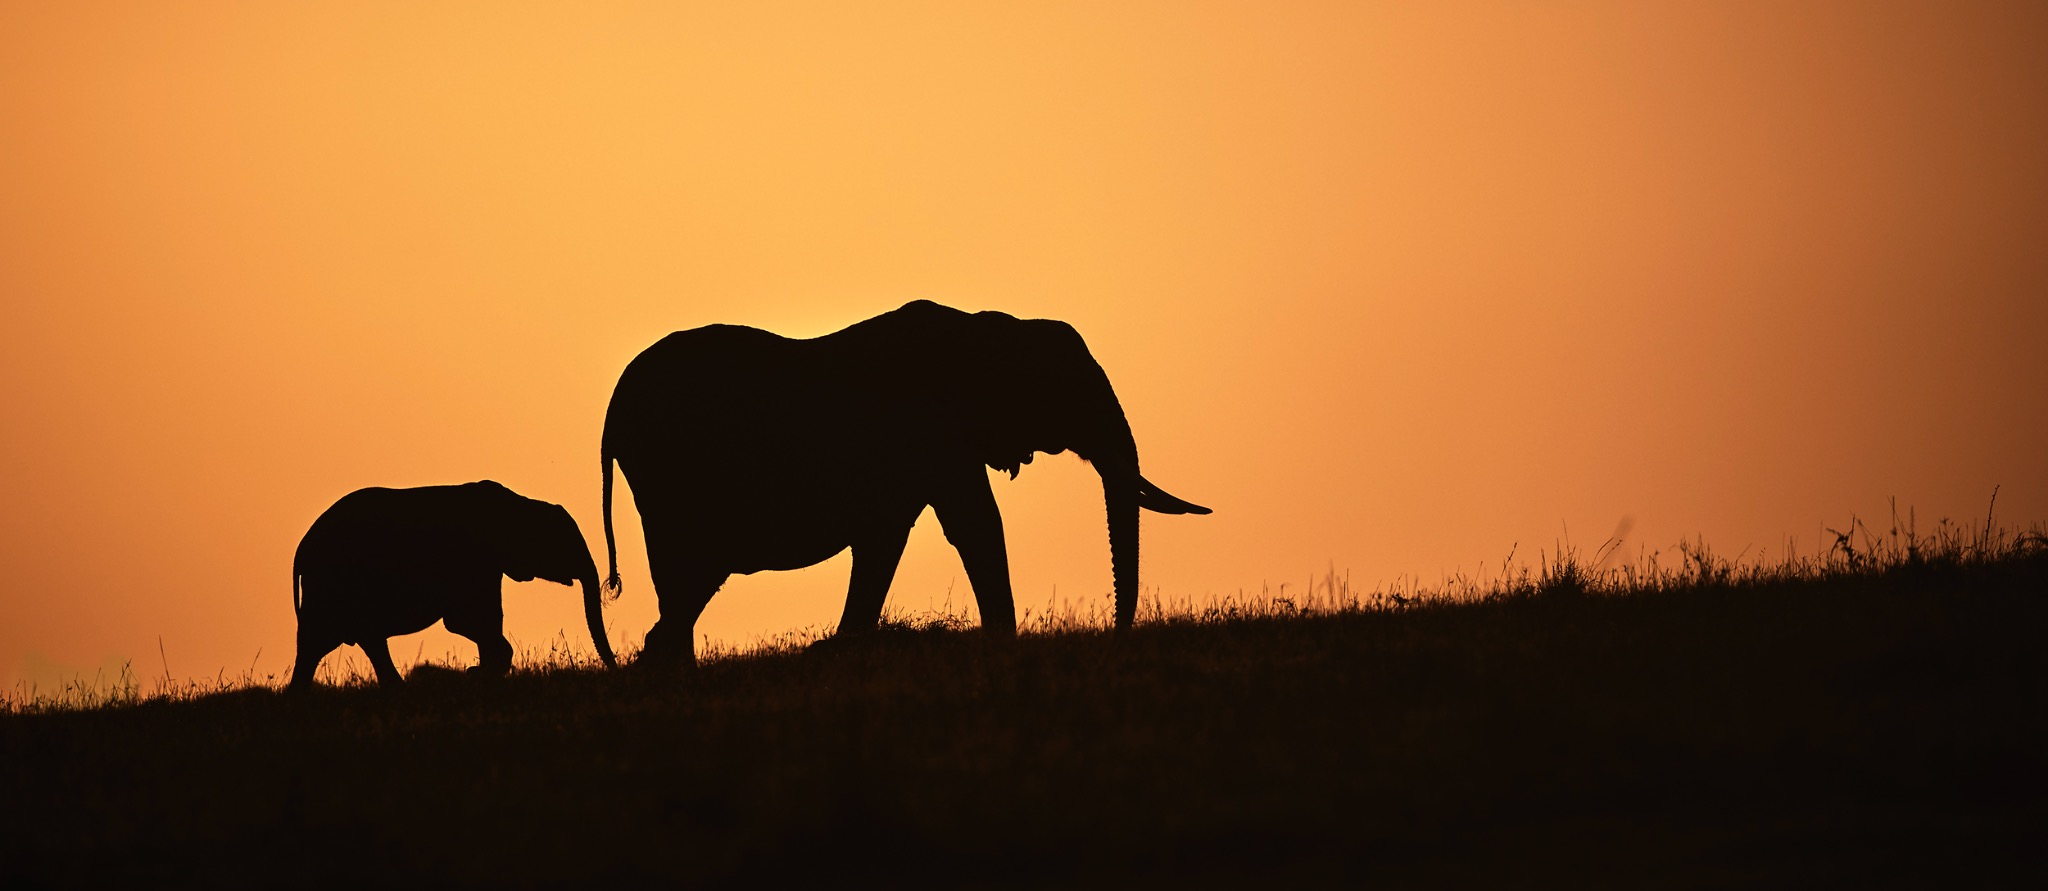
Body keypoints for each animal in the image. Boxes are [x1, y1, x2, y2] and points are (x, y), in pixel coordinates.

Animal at [290, 480, 616, 691]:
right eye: (564, 544)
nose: (614, 671)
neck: (519, 504)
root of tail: (302, 549)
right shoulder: (473, 560)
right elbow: (466, 622)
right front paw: (476, 675)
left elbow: (485, 621)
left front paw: (481, 675)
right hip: (333, 583)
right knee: (323, 639)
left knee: (351, 640)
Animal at [601, 299, 1210, 666]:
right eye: (1068, 392)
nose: (1119, 636)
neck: (988, 328)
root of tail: (612, 408)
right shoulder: (935, 432)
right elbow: (974, 525)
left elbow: (889, 539)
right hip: (666, 471)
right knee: (689, 569)